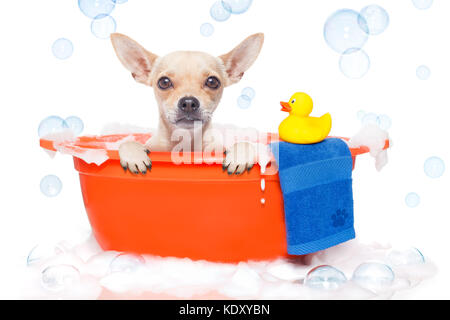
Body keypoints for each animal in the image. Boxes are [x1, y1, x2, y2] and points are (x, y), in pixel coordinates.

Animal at [110, 31, 264, 175]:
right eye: (164, 82)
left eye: (212, 81)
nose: (189, 102)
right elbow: (127, 143)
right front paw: (133, 155)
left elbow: (245, 144)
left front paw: (240, 155)